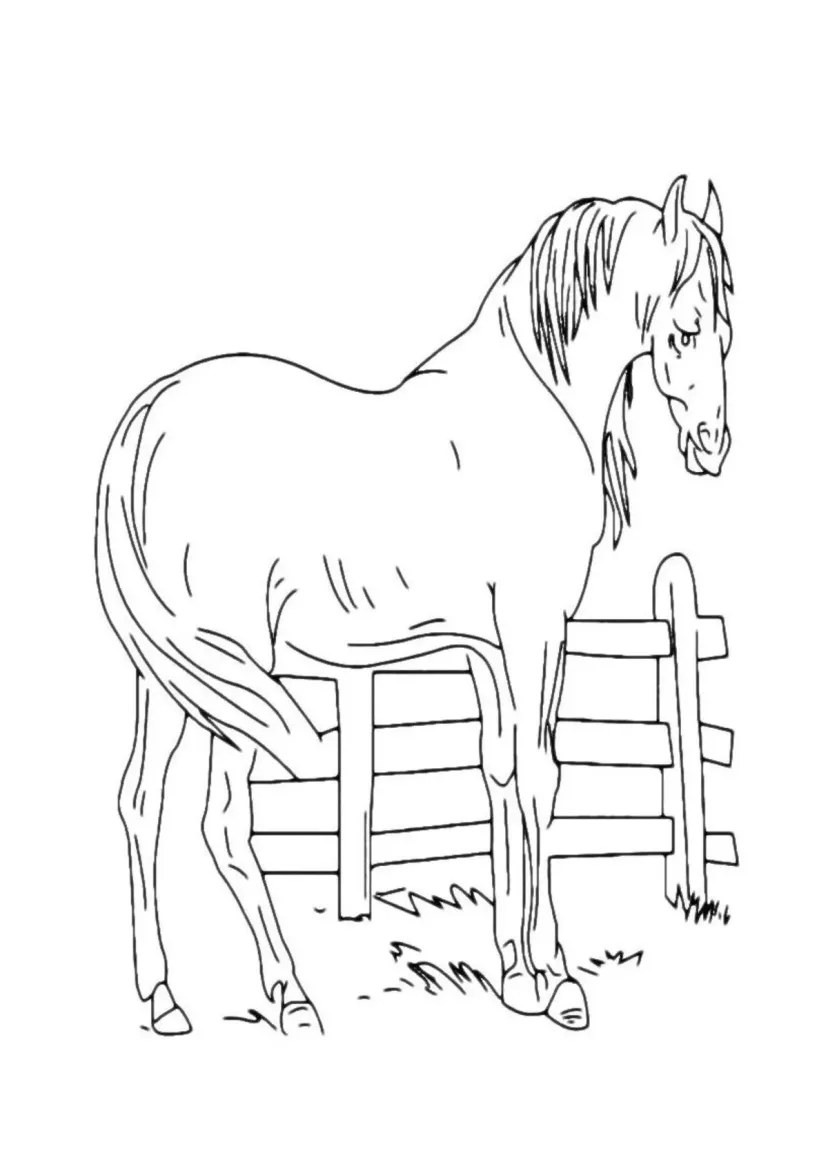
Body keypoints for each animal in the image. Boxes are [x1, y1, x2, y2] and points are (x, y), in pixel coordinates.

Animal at [96, 175, 733, 1036]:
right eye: (687, 327)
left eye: (727, 331)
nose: (712, 444)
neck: (532, 409)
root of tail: (147, 420)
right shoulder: (535, 630)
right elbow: (541, 777)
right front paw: (559, 978)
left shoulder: (486, 647)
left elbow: (500, 772)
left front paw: (516, 971)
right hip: (233, 663)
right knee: (222, 820)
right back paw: (290, 993)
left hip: (172, 675)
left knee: (141, 802)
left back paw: (164, 996)